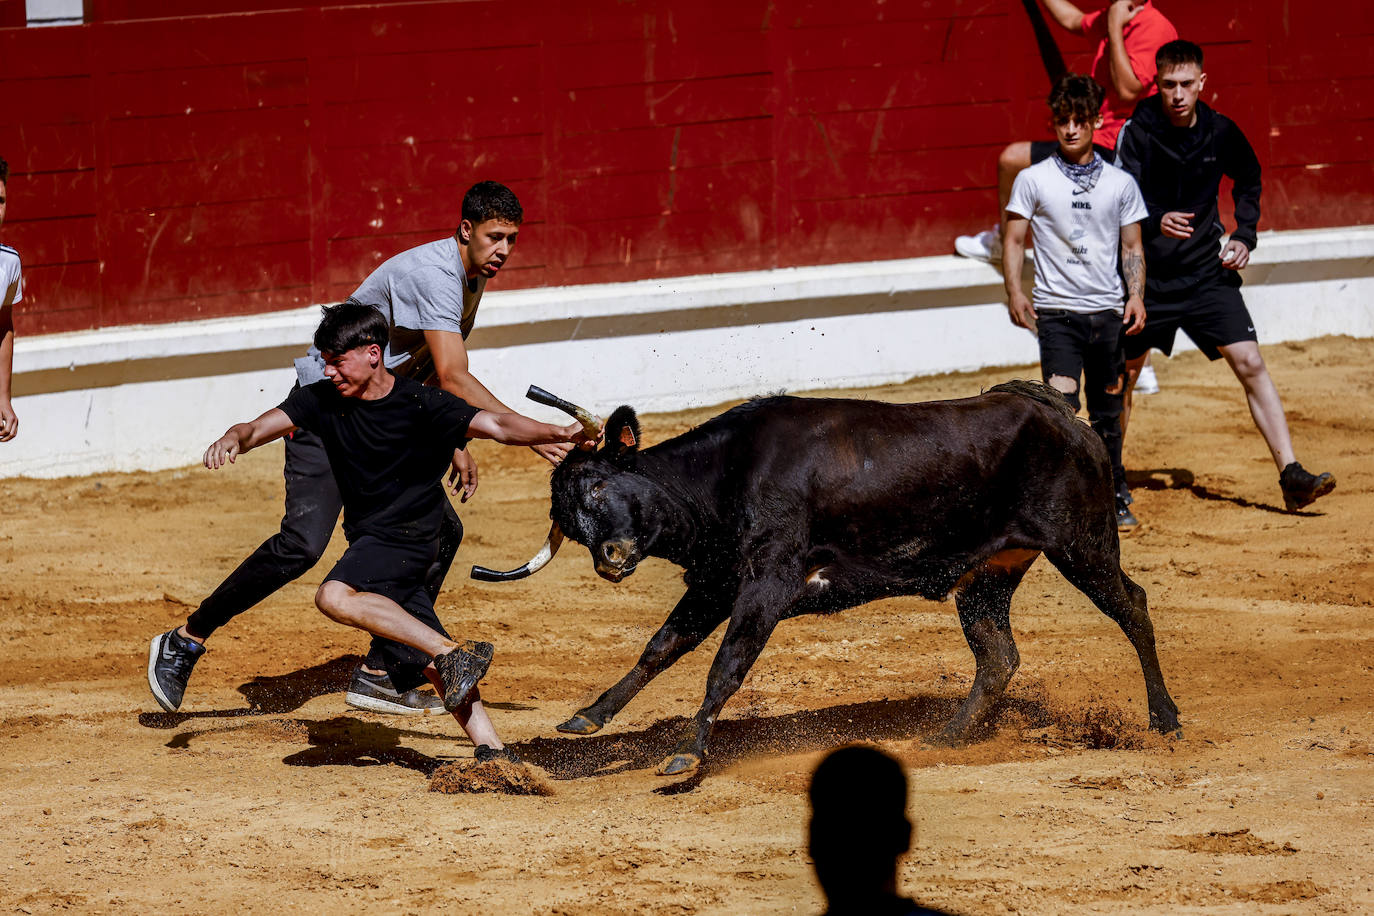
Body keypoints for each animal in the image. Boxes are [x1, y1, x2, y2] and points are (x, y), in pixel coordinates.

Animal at [475, 384, 1181, 780]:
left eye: (599, 485)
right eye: (570, 521)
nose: (610, 557)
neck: (726, 477)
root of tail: (1064, 416)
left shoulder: (767, 582)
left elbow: (724, 667)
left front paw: (689, 756)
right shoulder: (714, 584)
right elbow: (659, 649)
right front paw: (589, 717)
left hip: (1082, 545)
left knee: (1134, 607)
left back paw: (1165, 719)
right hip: (989, 575)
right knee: (998, 656)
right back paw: (947, 737)